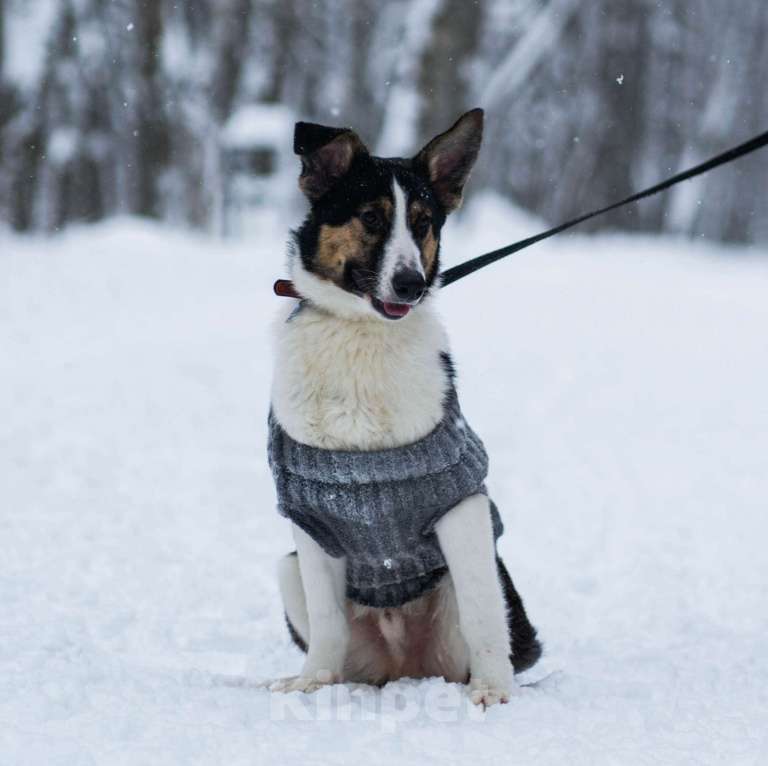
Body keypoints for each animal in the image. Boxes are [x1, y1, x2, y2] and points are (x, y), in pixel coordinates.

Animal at [268, 108, 540, 708]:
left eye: (422, 223)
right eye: (370, 217)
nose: (411, 284)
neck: (362, 335)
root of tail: (404, 667)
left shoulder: (461, 506)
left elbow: (484, 613)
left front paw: (493, 690)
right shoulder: (311, 523)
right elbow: (327, 623)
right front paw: (311, 683)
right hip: (287, 569)